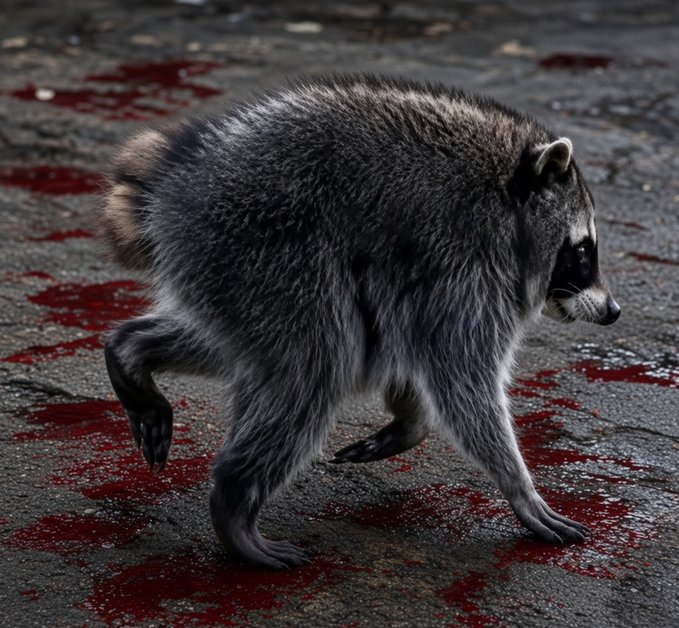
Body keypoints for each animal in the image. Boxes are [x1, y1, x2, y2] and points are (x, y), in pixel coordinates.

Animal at [99, 75, 620, 569]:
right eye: (581, 251)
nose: (613, 311)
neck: (508, 200)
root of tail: (173, 179)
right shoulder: (464, 265)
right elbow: (460, 377)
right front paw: (519, 487)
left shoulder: (430, 279)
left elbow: (413, 352)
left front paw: (411, 422)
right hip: (262, 247)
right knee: (315, 363)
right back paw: (234, 497)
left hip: (231, 273)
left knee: (253, 350)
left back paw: (133, 350)